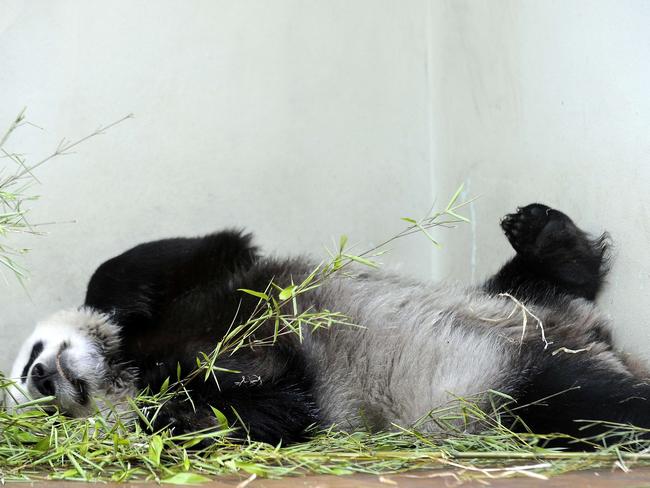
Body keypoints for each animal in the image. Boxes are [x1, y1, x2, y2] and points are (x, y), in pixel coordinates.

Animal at [5, 204, 648, 448]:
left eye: (31, 355)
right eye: (45, 413)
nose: (42, 378)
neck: (127, 363)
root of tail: (593, 339)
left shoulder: (218, 282)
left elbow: (170, 260)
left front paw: (115, 304)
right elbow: (272, 408)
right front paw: (187, 390)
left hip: (505, 311)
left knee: (537, 281)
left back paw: (545, 235)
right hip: (489, 388)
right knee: (585, 400)